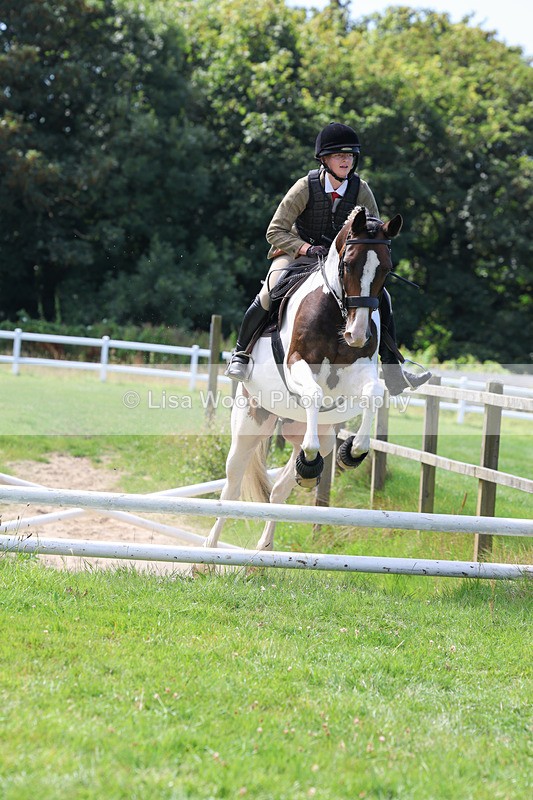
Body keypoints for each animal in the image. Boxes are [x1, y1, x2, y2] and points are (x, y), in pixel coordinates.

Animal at [205, 206, 403, 551]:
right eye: (348, 264)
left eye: (386, 270)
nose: (357, 334)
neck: (336, 312)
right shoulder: (297, 364)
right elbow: (313, 393)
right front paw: (317, 458)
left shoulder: (360, 371)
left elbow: (374, 394)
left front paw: (354, 451)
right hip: (250, 423)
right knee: (231, 487)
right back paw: (207, 552)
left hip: (318, 432)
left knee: (280, 488)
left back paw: (263, 550)